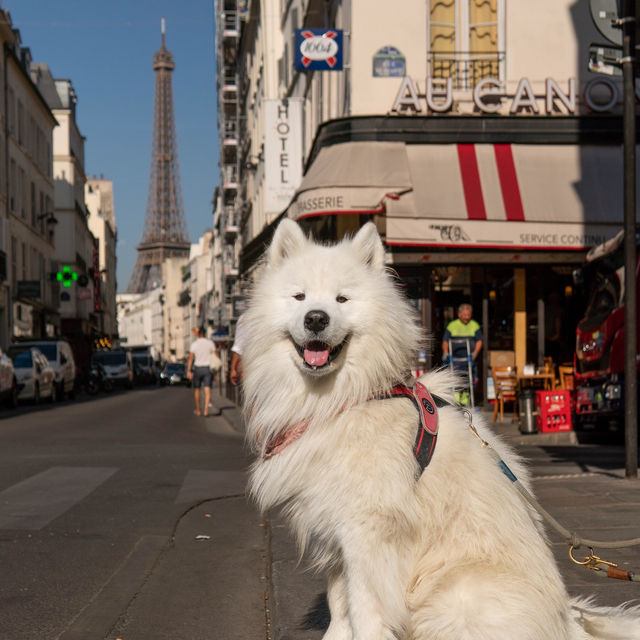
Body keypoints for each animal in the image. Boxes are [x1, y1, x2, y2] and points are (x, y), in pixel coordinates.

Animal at [241, 220, 640, 640]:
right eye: (299, 296)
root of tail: (567, 621)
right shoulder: (333, 529)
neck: (343, 398)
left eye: (342, 299)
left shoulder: (368, 533)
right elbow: (339, 605)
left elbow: (364, 609)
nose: (316, 318)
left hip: (450, 597)